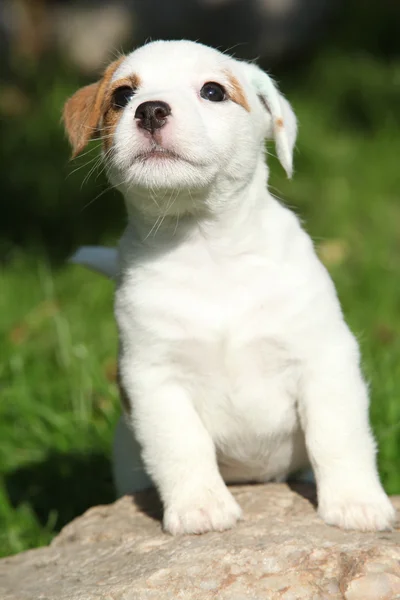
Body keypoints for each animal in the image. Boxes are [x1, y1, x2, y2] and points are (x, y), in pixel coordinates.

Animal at [64, 38, 396, 536]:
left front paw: (355, 503)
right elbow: (181, 447)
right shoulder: (153, 378)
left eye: (213, 92)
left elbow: (338, 436)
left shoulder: (325, 359)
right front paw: (200, 507)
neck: (208, 248)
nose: (150, 110)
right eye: (122, 96)